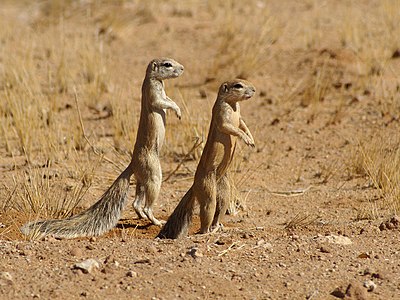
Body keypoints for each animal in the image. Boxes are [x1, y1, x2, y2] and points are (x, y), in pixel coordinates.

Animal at [20, 57, 184, 238]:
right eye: (168, 64)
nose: (182, 68)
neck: (155, 79)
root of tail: (132, 163)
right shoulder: (153, 92)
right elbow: (162, 102)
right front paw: (177, 111)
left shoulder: (163, 92)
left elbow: (168, 99)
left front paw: (177, 109)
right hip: (154, 174)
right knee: (147, 205)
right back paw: (155, 221)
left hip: (142, 179)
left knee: (136, 203)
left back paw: (141, 216)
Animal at [157, 79, 255, 239]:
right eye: (238, 85)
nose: (254, 90)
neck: (233, 104)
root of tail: (194, 185)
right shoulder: (222, 114)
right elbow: (230, 127)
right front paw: (245, 138)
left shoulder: (239, 117)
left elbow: (243, 124)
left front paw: (251, 139)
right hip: (208, 191)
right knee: (206, 216)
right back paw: (208, 232)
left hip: (224, 190)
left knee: (220, 208)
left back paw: (220, 227)